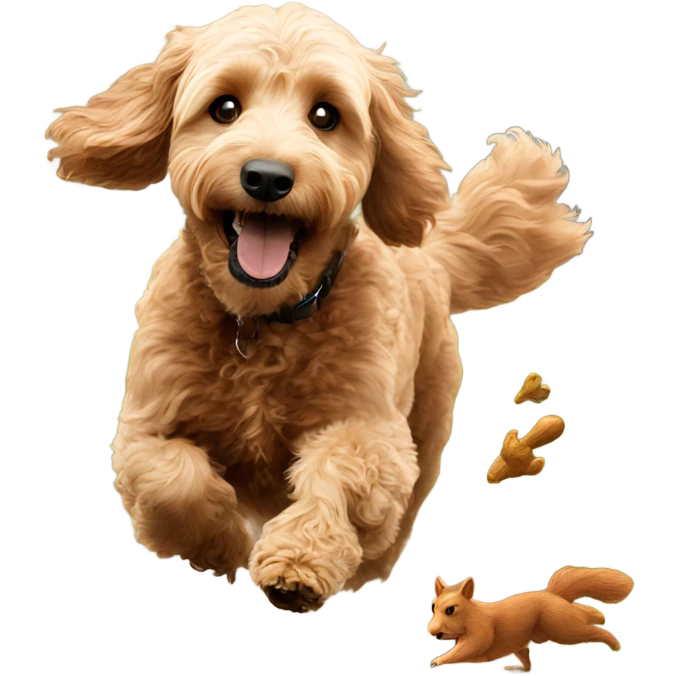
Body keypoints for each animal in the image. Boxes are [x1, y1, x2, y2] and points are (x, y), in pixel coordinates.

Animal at [427, 565, 634, 671]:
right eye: (433, 606)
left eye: (451, 610)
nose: (432, 631)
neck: (471, 613)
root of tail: (552, 594)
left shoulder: (482, 628)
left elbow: (470, 647)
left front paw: (438, 660)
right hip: (550, 627)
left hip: (561, 627)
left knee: (589, 631)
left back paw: (614, 643)